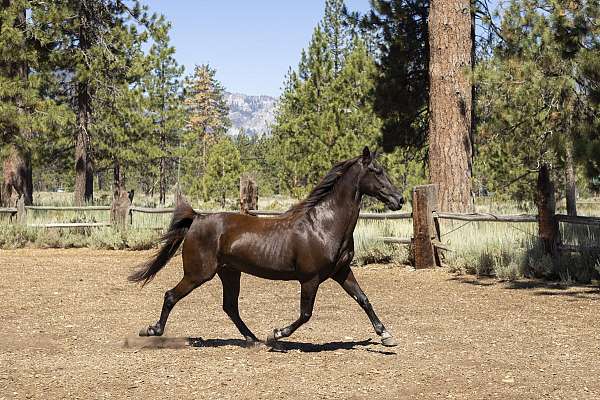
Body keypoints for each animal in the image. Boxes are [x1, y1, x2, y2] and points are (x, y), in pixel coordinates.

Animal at [129, 147, 406, 346]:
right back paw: (152, 329)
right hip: (199, 273)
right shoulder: (310, 278)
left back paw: (252, 338)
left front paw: (386, 336)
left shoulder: (341, 271)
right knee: (171, 295)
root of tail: (197, 218)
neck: (323, 225)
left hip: (229, 272)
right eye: (377, 171)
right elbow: (306, 314)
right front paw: (277, 333)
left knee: (230, 306)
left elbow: (364, 299)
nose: (399, 199)